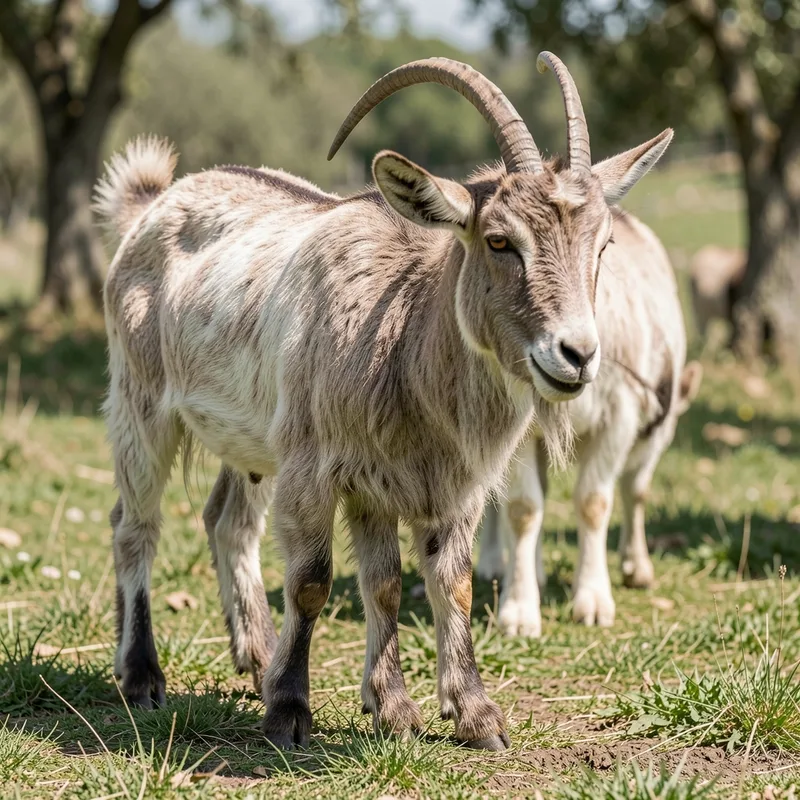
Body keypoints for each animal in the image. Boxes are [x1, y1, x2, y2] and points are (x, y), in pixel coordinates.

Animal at [95, 54, 672, 750]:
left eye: (603, 244)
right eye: (499, 241)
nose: (578, 354)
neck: (400, 329)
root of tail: (155, 203)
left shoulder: (421, 481)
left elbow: (423, 583)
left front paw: (450, 712)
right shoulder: (319, 466)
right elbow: (313, 582)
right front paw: (291, 711)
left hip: (253, 440)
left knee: (228, 521)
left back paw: (256, 656)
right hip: (141, 402)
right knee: (135, 526)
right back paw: (143, 676)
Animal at [477, 211, 702, 636]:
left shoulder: (624, 415)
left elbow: (598, 502)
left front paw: (596, 599)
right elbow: (523, 508)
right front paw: (519, 609)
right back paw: (499, 562)